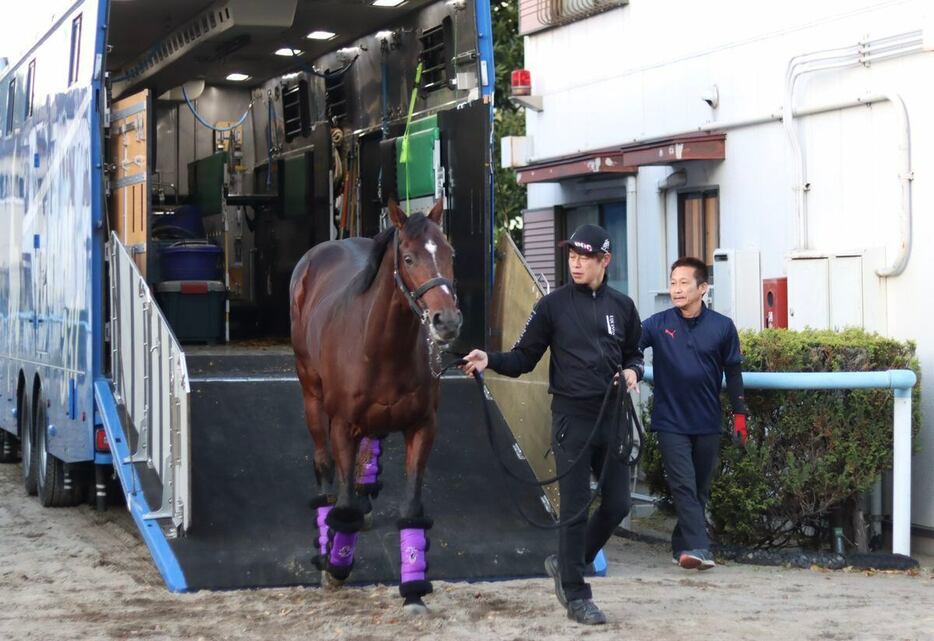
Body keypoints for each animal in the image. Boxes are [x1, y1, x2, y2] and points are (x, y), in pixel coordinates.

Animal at [288, 199, 458, 616]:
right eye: (409, 258)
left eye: (449, 253)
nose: (447, 321)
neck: (380, 347)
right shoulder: (341, 426)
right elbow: (344, 505)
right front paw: (335, 564)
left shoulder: (422, 427)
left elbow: (411, 510)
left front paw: (413, 591)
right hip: (311, 396)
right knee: (325, 468)